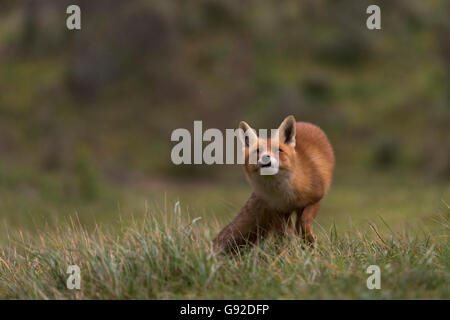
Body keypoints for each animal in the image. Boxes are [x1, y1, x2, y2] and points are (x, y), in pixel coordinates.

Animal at [214, 115, 334, 252]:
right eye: (257, 151)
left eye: (279, 150)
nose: (266, 157)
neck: (284, 194)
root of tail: (304, 123)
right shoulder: (276, 208)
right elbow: (283, 235)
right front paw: (285, 253)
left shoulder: (316, 199)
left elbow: (304, 224)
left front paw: (310, 242)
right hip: (282, 213)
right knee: (286, 232)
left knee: (298, 226)